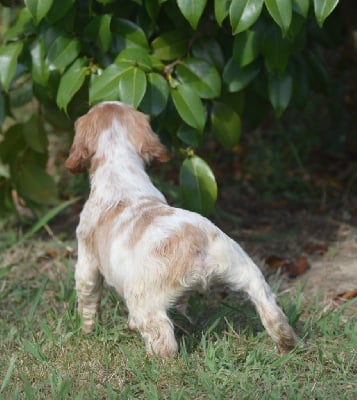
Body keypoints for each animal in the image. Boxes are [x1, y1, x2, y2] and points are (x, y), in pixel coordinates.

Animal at [64, 100, 298, 356]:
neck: (120, 170)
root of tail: (197, 239)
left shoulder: (87, 260)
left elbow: (87, 298)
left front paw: (86, 330)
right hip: (249, 273)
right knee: (272, 313)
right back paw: (287, 345)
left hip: (146, 303)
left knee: (164, 342)